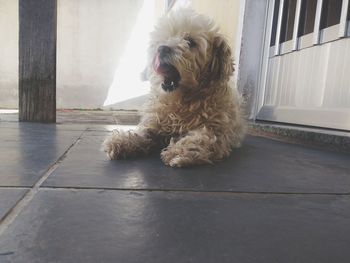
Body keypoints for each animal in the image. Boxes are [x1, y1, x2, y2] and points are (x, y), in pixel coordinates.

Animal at [103, 9, 246, 169]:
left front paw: (180, 151)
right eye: (164, 38)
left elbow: (202, 138)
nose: (162, 48)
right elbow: (143, 132)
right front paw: (122, 141)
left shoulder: (217, 131)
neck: (180, 102)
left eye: (190, 42)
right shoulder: (155, 123)